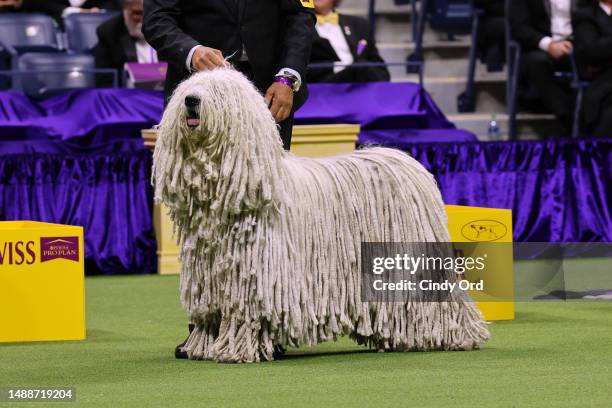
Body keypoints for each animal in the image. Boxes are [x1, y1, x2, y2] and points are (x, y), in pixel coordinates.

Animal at [154, 67, 492, 364]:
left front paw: (237, 350)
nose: (191, 100)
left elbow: (246, 315)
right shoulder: (209, 276)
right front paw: (204, 347)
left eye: (219, 92)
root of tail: (408, 162)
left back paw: (456, 336)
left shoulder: (257, 278)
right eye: (187, 89)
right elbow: (211, 314)